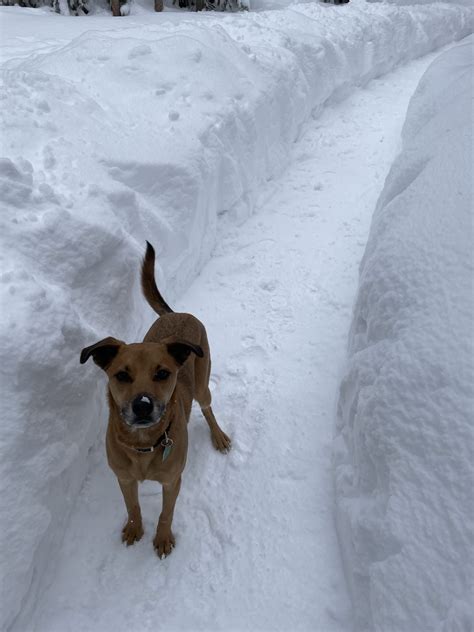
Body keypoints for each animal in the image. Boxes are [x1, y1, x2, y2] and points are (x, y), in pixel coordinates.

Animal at [80, 242, 231, 556]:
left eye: (162, 373)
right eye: (121, 375)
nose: (142, 406)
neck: (143, 446)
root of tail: (179, 312)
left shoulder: (172, 481)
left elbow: (166, 513)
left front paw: (162, 538)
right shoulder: (124, 478)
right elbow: (133, 506)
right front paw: (134, 528)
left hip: (202, 384)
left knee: (208, 408)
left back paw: (219, 436)